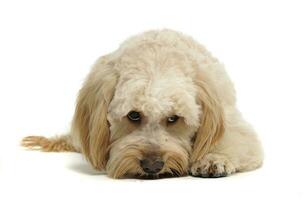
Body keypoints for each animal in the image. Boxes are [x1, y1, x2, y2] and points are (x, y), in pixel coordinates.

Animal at [21, 29, 264, 178]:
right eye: (133, 115)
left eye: (173, 118)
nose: (152, 166)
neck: (158, 56)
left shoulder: (229, 118)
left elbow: (234, 140)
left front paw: (213, 158)